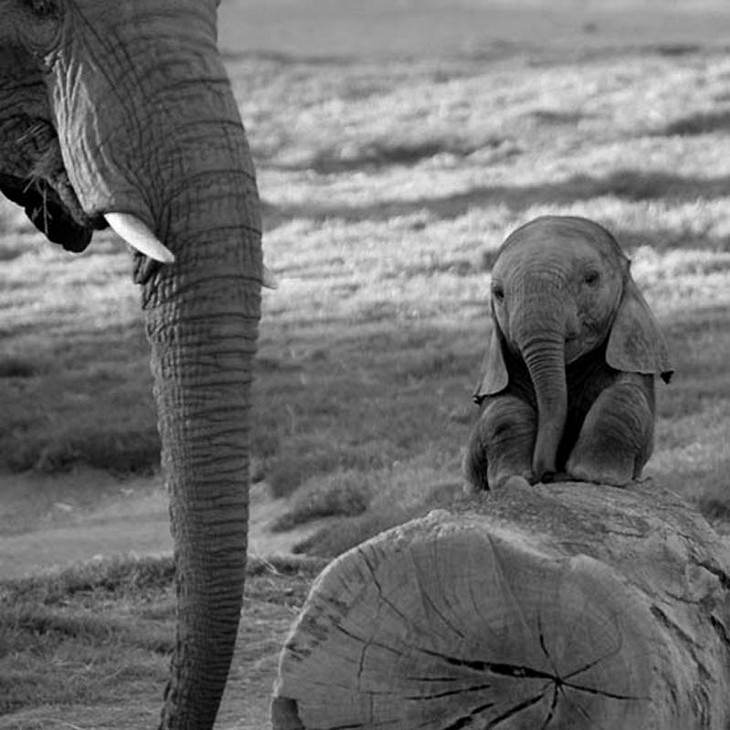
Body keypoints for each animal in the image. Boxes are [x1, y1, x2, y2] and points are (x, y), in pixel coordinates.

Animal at [466, 216, 672, 490]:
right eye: (498, 294)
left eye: (591, 278)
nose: (550, 474)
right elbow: (501, 409)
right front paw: (512, 478)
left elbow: (625, 397)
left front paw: (594, 475)